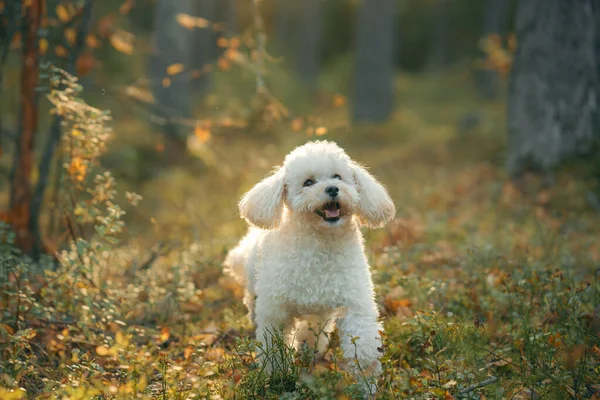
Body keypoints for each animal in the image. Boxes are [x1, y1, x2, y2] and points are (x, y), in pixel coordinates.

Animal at [223, 141, 396, 384]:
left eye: (337, 176)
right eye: (308, 182)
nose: (332, 189)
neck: (320, 243)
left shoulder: (355, 302)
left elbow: (363, 344)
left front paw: (366, 380)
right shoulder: (276, 310)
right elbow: (273, 345)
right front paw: (274, 375)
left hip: (320, 312)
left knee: (314, 329)